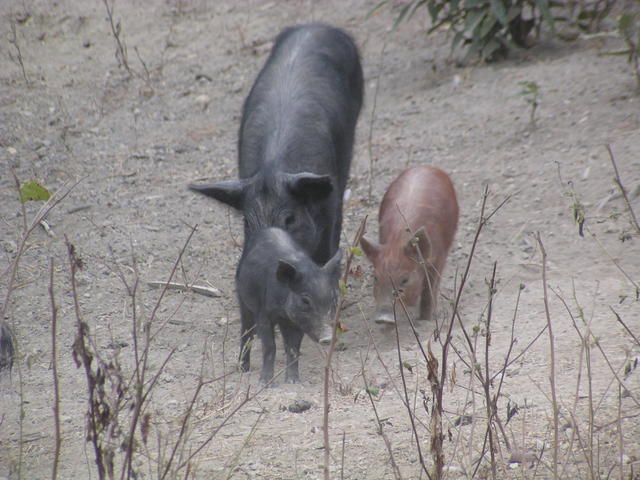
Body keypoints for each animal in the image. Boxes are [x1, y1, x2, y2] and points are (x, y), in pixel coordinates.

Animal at [236, 227, 342, 384]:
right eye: (305, 300)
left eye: (333, 298)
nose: (328, 337)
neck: (283, 312)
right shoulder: (264, 314)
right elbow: (269, 347)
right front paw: (265, 383)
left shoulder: (298, 323)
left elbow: (293, 348)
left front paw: (293, 382)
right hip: (243, 300)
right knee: (246, 332)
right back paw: (243, 369)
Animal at [360, 166, 459, 324]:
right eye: (375, 278)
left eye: (405, 280)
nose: (383, 318)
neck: (397, 241)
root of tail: (427, 166)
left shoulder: (437, 258)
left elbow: (428, 291)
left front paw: (425, 320)